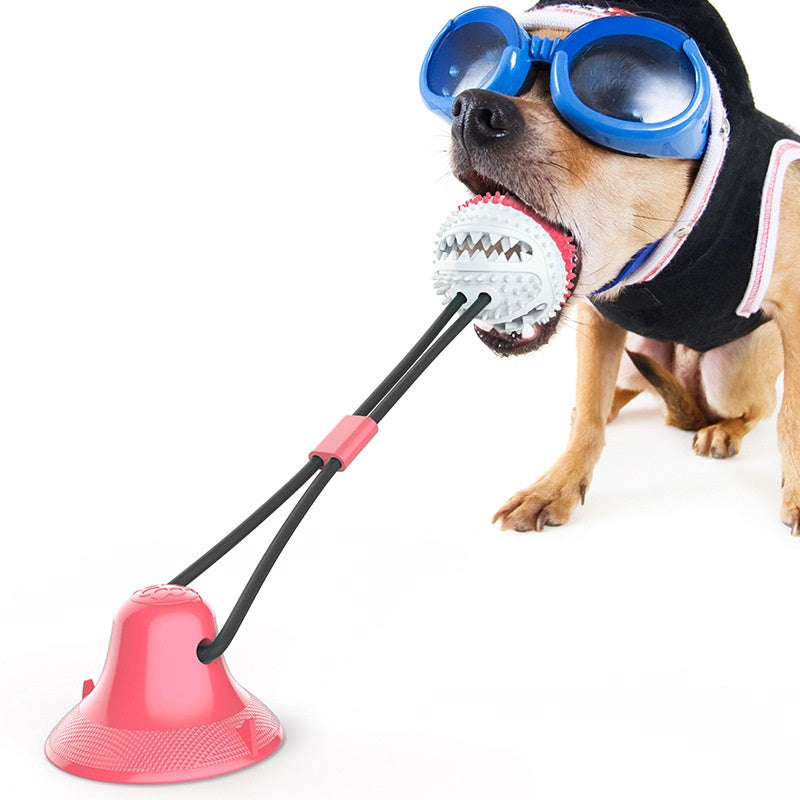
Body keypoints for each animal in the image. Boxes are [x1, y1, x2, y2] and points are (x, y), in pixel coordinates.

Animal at [438, 3, 800, 536]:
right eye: (481, 73)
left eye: (616, 96)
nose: (469, 109)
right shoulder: (598, 321)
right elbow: (590, 410)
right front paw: (558, 485)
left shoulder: (793, 313)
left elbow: (790, 415)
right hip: (637, 358)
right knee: (618, 392)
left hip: (731, 371)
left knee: (758, 408)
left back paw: (722, 429)